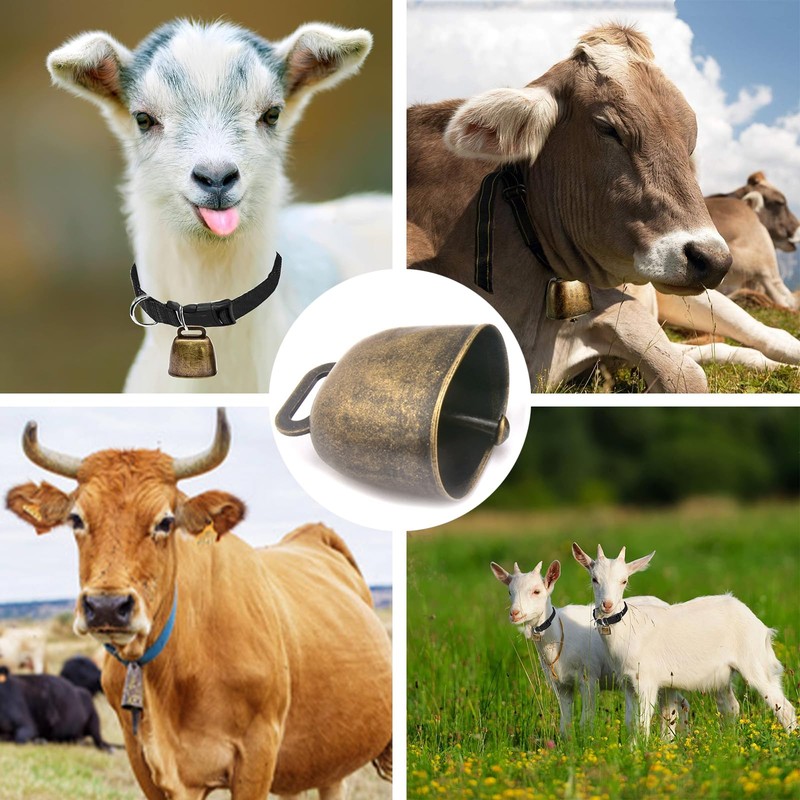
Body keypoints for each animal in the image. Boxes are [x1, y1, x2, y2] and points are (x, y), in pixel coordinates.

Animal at [491, 560, 689, 738]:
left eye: (536, 591)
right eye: (509, 592)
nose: (514, 613)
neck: (558, 635)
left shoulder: (589, 677)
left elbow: (586, 721)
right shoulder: (561, 685)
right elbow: (565, 724)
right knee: (681, 703)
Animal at [571, 543, 797, 737]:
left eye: (624, 580)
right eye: (594, 579)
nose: (607, 604)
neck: (629, 629)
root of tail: (760, 626)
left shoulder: (646, 680)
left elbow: (643, 722)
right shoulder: (627, 682)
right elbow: (631, 722)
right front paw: (633, 751)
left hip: (755, 663)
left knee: (784, 707)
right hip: (722, 676)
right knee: (731, 707)